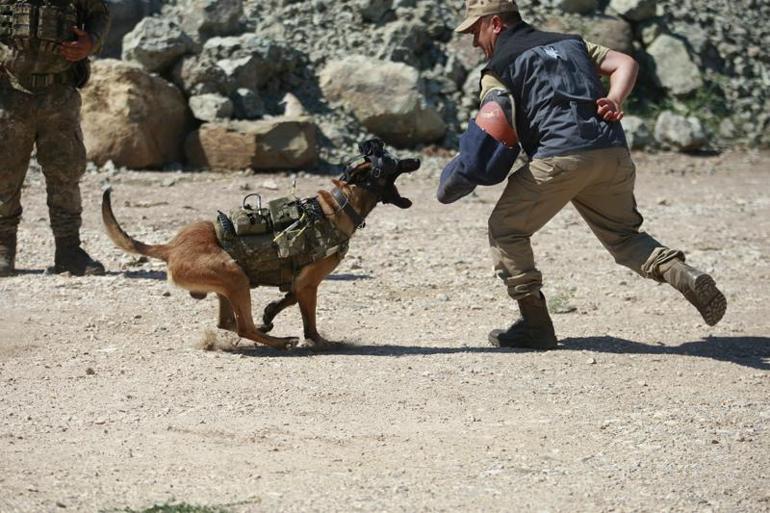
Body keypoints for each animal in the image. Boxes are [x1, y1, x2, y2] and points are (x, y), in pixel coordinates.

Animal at [102, 140, 420, 348]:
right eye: (393, 161)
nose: (417, 159)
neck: (338, 205)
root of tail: (171, 247)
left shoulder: (300, 281)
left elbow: (288, 298)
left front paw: (270, 312)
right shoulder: (309, 283)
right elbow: (310, 321)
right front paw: (320, 341)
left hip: (230, 285)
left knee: (229, 323)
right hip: (235, 277)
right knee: (243, 327)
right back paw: (280, 341)